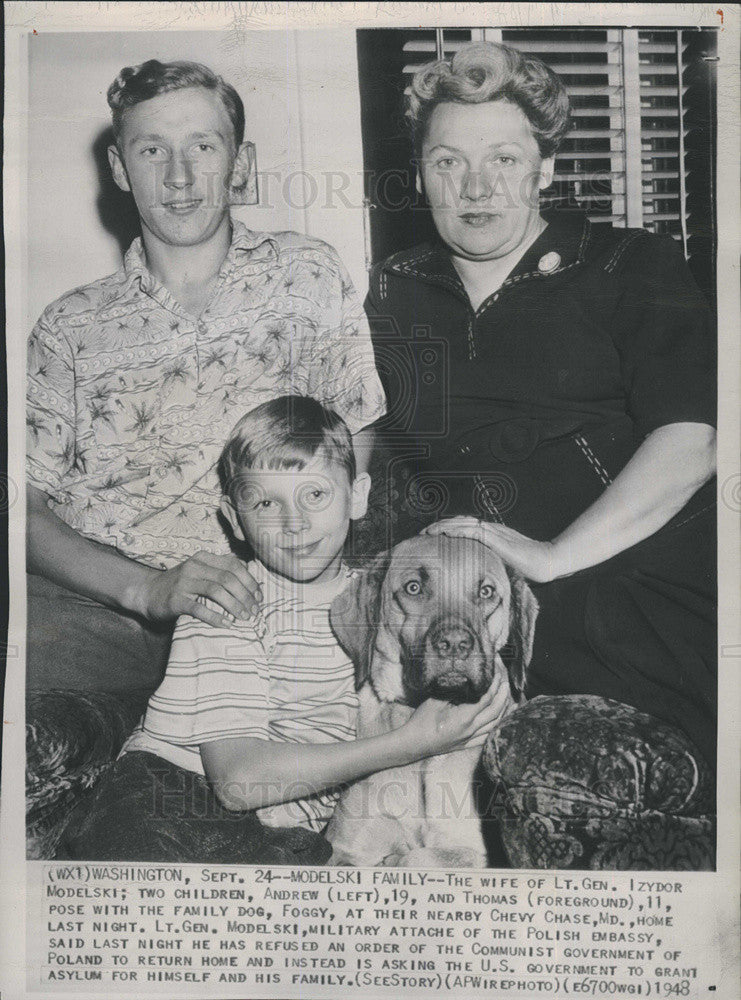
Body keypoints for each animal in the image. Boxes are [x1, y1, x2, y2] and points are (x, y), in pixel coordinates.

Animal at [326, 532, 536, 868]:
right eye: (414, 587)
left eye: (486, 591)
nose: (455, 644)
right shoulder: (344, 851)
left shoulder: (480, 854)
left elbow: (417, 858)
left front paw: (397, 860)